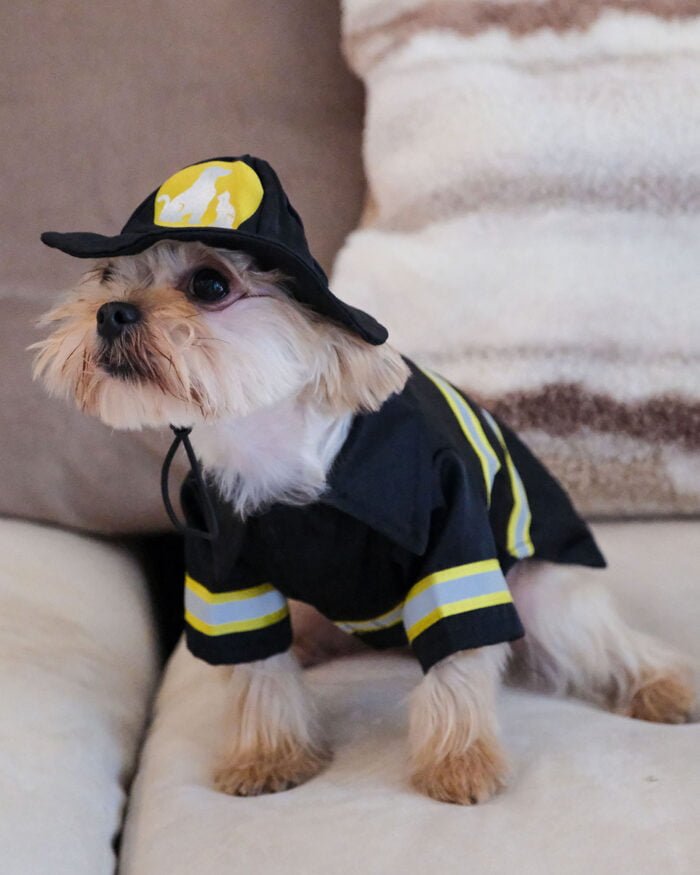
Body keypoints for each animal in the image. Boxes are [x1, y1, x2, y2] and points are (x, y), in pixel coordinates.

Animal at [37, 159, 696, 808]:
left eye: (210, 285)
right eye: (106, 275)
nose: (110, 312)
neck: (279, 450)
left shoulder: (453, 539)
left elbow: (458, 657)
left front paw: (460, 762)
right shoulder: (225, 568)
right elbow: (257, 666)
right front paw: (269, 755)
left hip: (546, 601)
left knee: (614, 648)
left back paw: (665, 689)